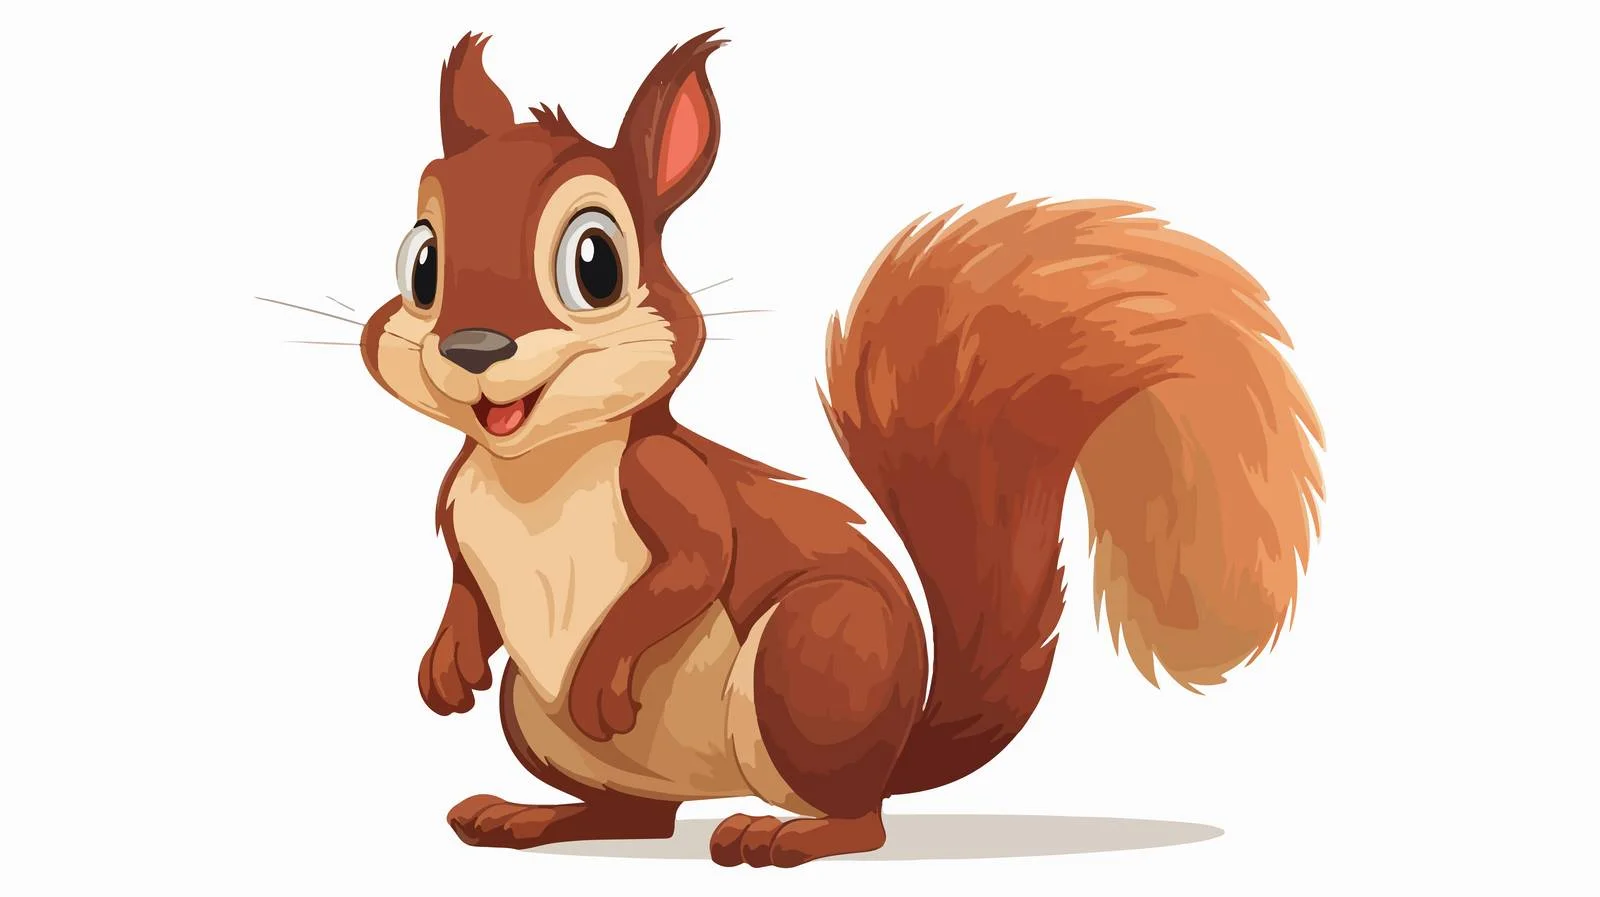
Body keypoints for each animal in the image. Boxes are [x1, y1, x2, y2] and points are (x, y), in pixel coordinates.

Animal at [359, 29, 1324, 868]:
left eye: (595, 261)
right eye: (421, 262)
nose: (474, 349)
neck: (535, 468)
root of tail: (895, 751)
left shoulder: (675, 486)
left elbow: (696, 565)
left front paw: (601, 670)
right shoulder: (455, 507)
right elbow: (465, 586)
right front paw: (444, 665)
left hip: (813, 654)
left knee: (859, 821)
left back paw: (779, 834)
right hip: (538, 714)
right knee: (633, 817)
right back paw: (529, 816)